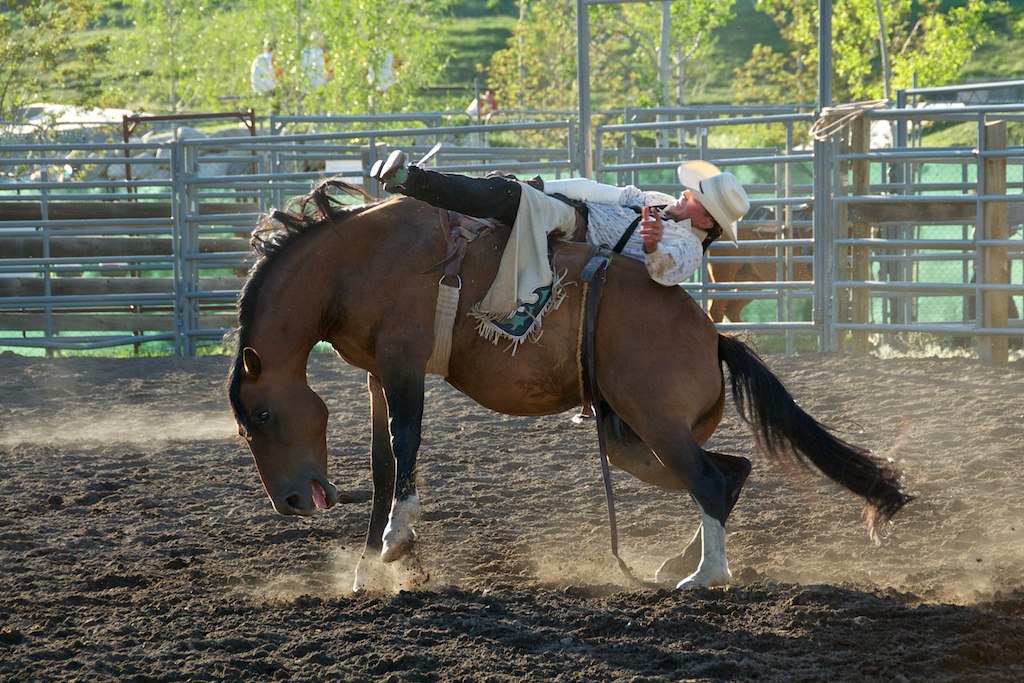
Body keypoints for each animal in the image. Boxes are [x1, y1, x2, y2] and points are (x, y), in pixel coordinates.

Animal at [226, 180, 913, 593]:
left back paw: (705, 578)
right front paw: (371, 569)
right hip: (631, 438)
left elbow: (405, 444)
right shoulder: (376, 373)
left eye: (260, 417)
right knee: (729, 470)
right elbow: (380, 466)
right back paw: (683, 562)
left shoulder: (402, 363)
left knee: (711, 479)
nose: (291, 502)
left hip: (654, 424)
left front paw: (396, 541)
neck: (357, 261)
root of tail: (713, 338)